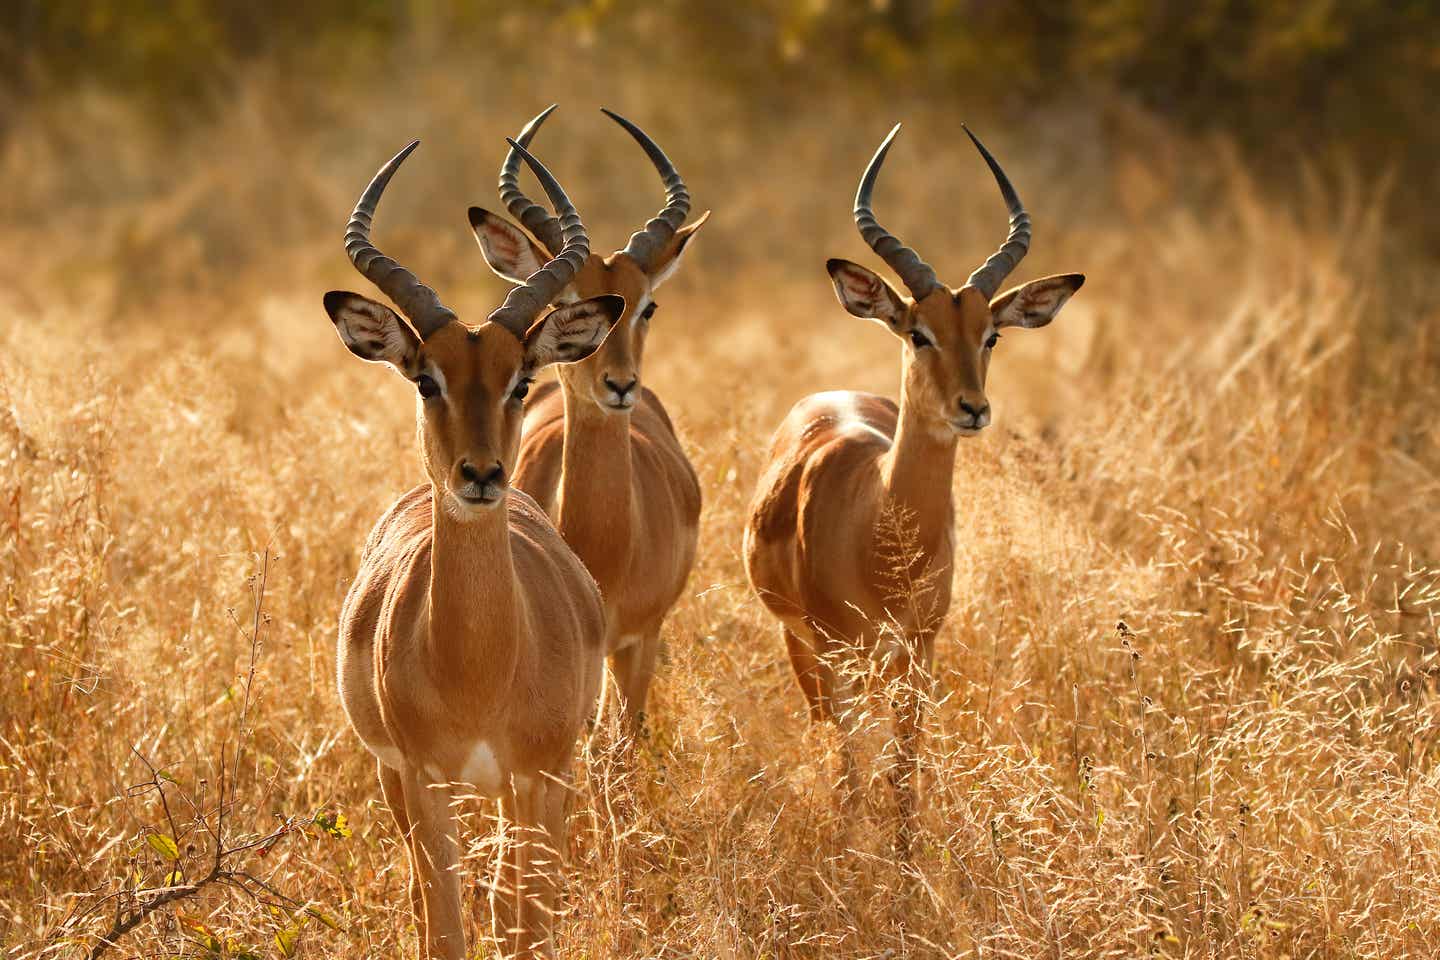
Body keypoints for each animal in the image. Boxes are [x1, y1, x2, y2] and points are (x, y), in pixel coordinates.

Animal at [331, 136, 624, 960]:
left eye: (521, 379)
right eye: (425, 379)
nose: (482, 475)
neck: (479, 671)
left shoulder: (544, 779)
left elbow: (529, 929)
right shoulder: (425, 782)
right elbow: (446, 929)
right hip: (402, 785)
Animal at [743, 123, 1082, 852]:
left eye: (991, 335)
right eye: (918, 332)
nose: (972, 408)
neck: (878, 532)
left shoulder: (921, 649)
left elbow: (903, 772)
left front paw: (904, 863)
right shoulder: (837, 650)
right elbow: (850, 769)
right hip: (805, 647)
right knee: (828, 739)